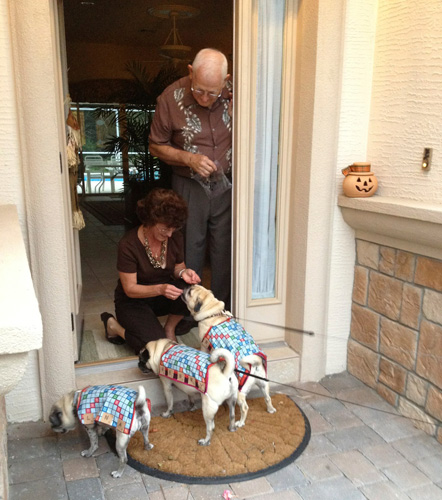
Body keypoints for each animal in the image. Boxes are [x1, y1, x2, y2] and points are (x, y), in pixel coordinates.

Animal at [181, 284, 274, 428]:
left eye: (190, 292)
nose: (185, 286)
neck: (212, 311)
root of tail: (255, 364)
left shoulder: (204, 345)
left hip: (240, 392)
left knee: (245, 408)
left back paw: (240, 423)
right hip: (263, 384)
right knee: (268, 397)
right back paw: (270, 409)